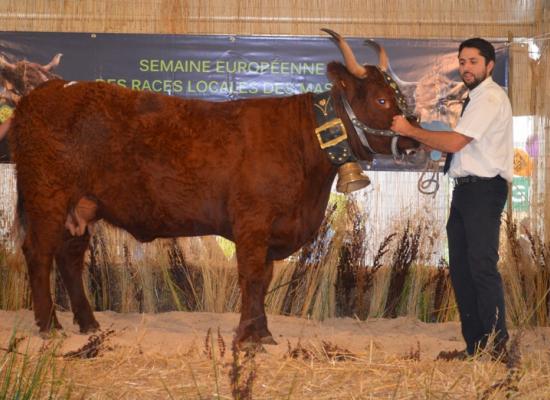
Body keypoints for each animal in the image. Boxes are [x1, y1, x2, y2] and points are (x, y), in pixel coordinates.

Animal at [8, 29, 420, 346]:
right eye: (382, 99)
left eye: (399, 97)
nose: (414, 138)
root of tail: (47, 91)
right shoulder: (253, 223)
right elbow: (251, 277)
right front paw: (248, 337)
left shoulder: (272, 230)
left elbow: (263, 280)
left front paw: (262, 333)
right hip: (48, 197)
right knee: (39, 254)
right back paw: (50, 327)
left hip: (82, 205)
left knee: (70, 256)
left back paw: (88, 323)